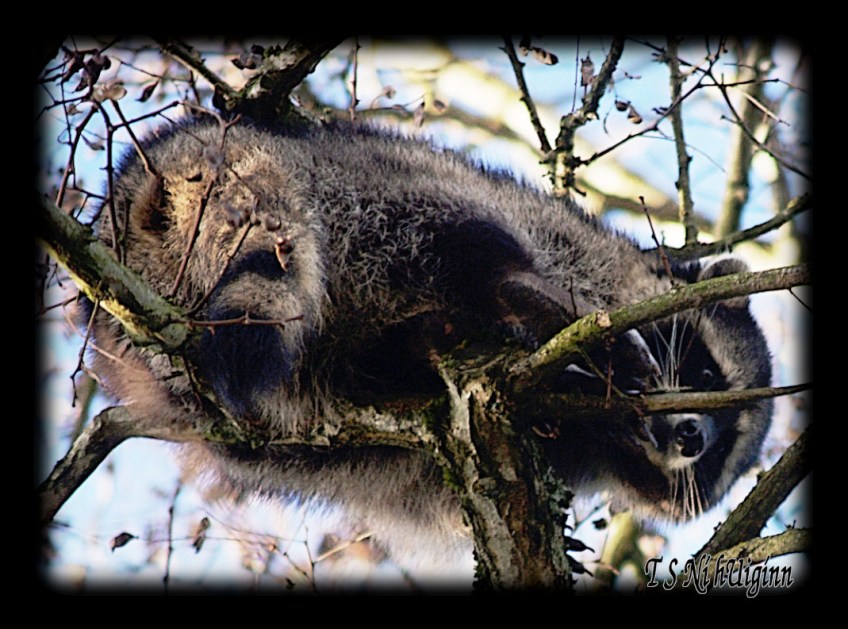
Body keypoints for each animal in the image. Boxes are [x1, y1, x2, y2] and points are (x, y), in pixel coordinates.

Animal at [84, 117, 772, 574]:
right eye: (706, 377)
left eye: (718, 458)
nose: (693, 438)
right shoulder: (565, 240)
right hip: (364, 184)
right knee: (460, 231)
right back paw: (515, 294)